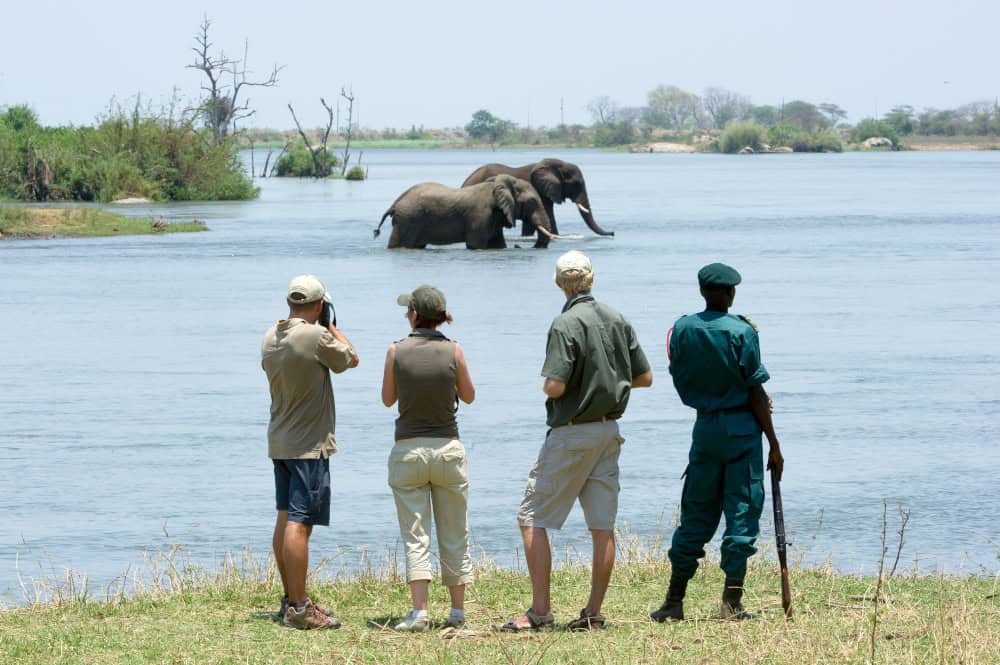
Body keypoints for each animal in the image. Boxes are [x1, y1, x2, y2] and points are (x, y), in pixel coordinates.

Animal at [374, 174, 560, 249]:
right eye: (532, 202)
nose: (518, 245)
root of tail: (395, 203)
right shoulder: (480, 215)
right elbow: (475, 245)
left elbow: (498, 245)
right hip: (407, 220)